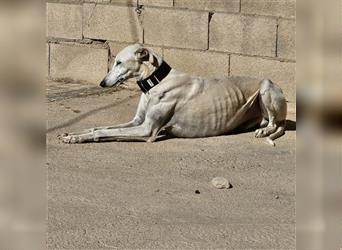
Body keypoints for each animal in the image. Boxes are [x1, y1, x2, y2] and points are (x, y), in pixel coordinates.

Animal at [60, 42, 288, 145]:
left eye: (119, 62)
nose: (102, 83)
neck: (156, 82)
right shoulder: (137, 122)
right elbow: (101, 127)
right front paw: (71, 133)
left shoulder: (147, 130)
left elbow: (103, 132)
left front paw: (76, 138)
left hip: (266, 88)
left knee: (273, 124)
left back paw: (264, 131)